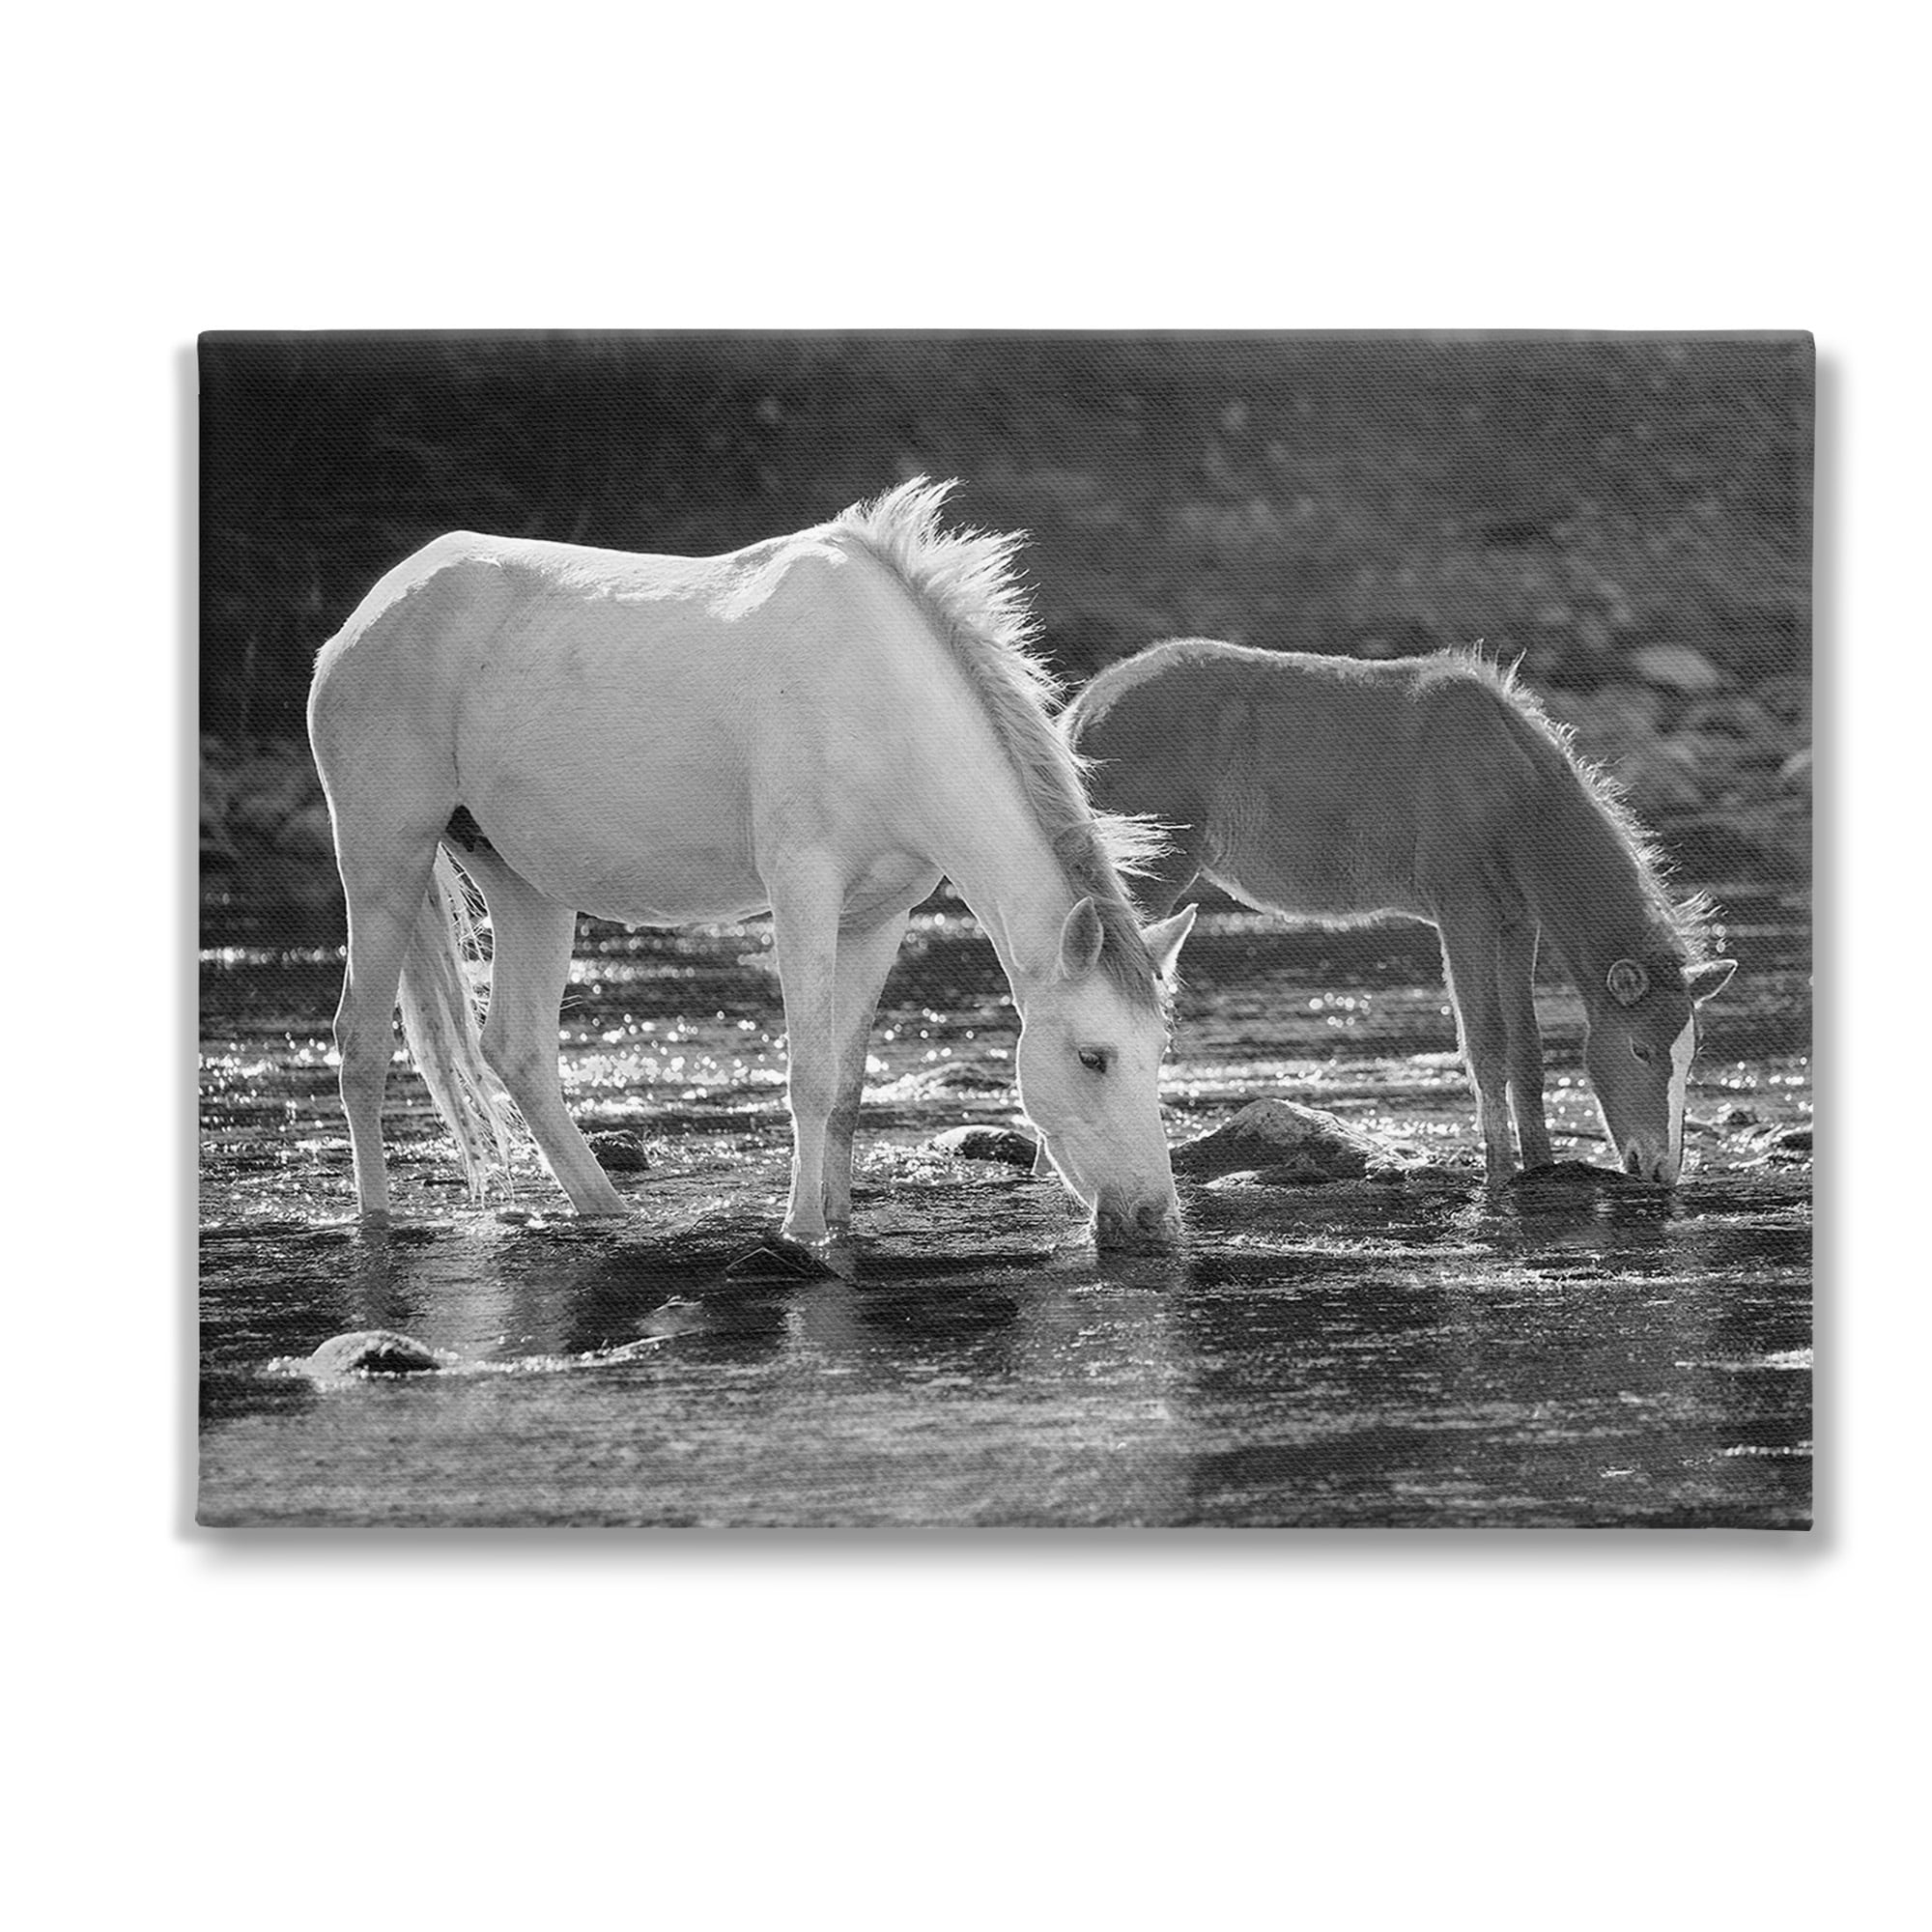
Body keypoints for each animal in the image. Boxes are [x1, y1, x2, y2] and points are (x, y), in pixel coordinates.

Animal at [306, 479, 1196, 1253]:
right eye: (1093, 1057)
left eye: (1160, 1052)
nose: (1154, 1218)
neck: (882, 699)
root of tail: (362, 621)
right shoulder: (802, 890)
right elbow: (809, 1075)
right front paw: (801, 1231)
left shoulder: (878, 916)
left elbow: (847, 1086)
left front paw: (839, 1221)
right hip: (385, 853)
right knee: (362, 1045)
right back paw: (375, 1223)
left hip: (524, 884)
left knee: (517, 1050)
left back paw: (608, 1211)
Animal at [1061, 639, 1736, 1185]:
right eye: (1641, 1050)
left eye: (1691, 1053)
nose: (1661, 1169)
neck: (1512, 787)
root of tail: (1084, 707)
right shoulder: (1464, 910)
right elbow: (1485, 1045)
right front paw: (1498, 1175)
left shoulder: (1518, 924)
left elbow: (1528, 1050)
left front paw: (1542, 1166)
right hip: (1150, 873)